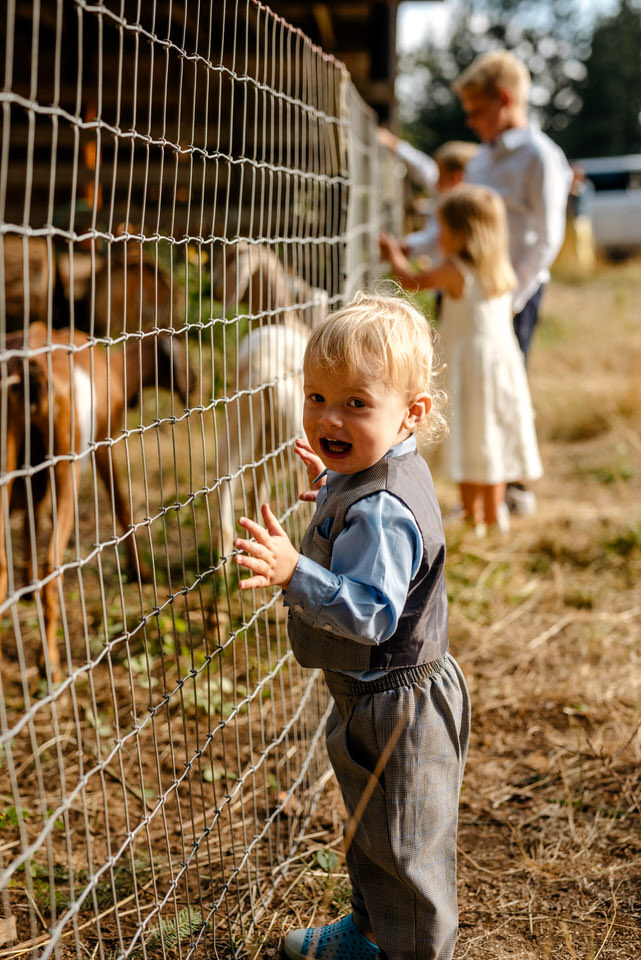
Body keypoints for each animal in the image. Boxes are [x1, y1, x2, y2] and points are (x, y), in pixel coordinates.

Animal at [0, 324, 190, 684]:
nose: (195, 390)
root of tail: (25, 367)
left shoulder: (34, 467)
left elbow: (32, 515)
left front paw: (27, 587)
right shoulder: (103, 441)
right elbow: (121, 504)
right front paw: (141, 571)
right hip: (67, 462)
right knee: (52, 563)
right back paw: (50, 663)